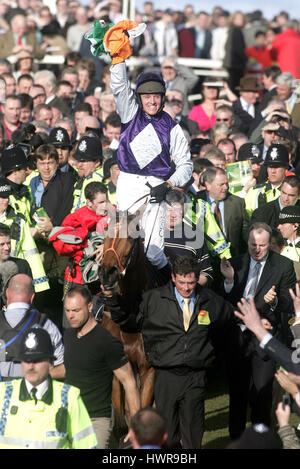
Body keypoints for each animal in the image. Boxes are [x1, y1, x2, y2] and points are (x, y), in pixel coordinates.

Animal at [98, 208, 155, 436]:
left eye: (131, 236)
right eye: (105, 231)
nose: (107, 272)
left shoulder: (148, 369)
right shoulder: (120, 367)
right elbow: (123, 419)